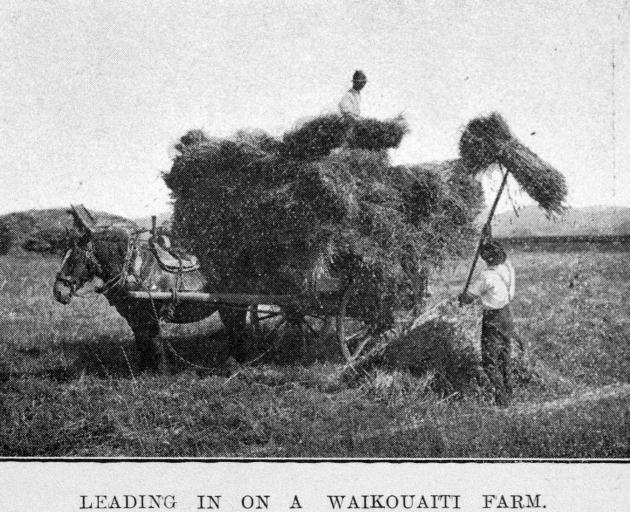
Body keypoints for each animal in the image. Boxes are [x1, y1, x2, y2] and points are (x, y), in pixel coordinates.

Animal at [51, 204, 243, 372]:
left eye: (74, 258)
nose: (58, 291)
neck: (135, 270)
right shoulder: (135, 319)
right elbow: (142, 343)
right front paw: (143, 370)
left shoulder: (153, 316)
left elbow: (155, 344)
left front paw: (162, 372)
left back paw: (234, 362)